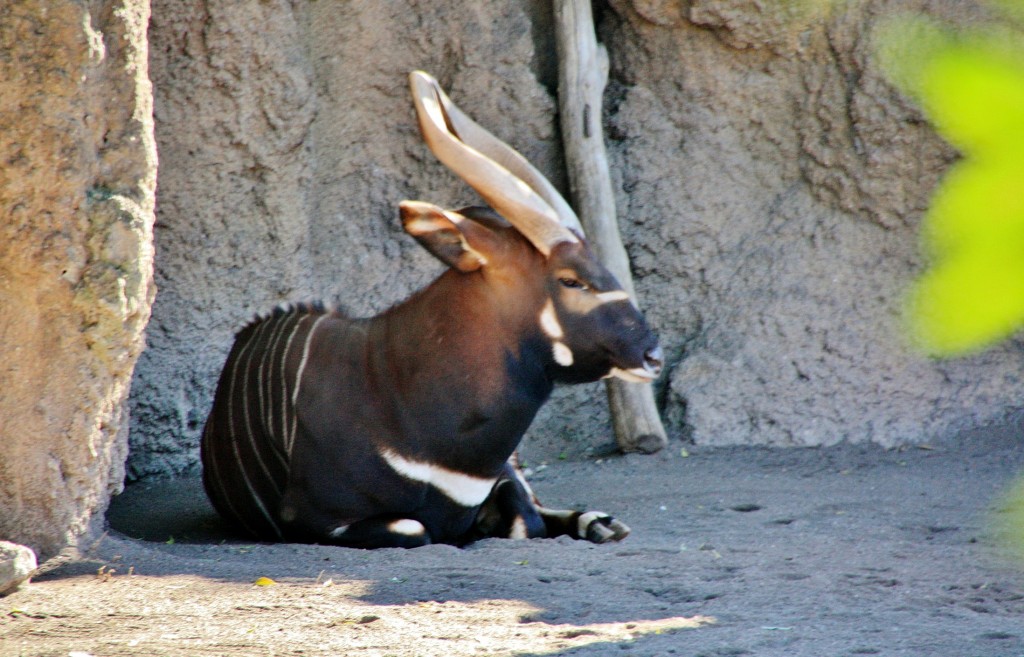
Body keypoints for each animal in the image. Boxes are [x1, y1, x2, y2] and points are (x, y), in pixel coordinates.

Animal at [199, 70, 663, 548]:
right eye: (571, 280)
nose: (652, 355)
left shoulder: (500, 483)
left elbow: (525, 519)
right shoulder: (319, 520)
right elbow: (417, 528)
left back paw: (602, 523)